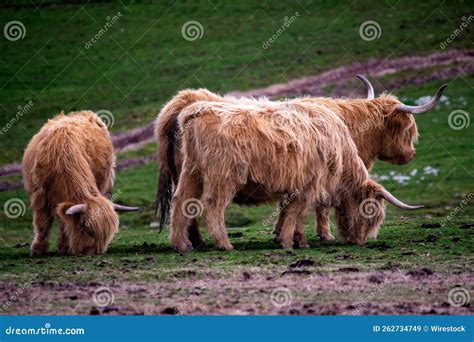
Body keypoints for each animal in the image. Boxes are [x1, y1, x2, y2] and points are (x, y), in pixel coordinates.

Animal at [23, 111, 138, 255]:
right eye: (86, 228)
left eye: (106, 235)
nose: (94, 251)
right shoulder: (39, 194)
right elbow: (42, 223)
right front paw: (38, 249)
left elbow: (64, 223)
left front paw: (64, 247)